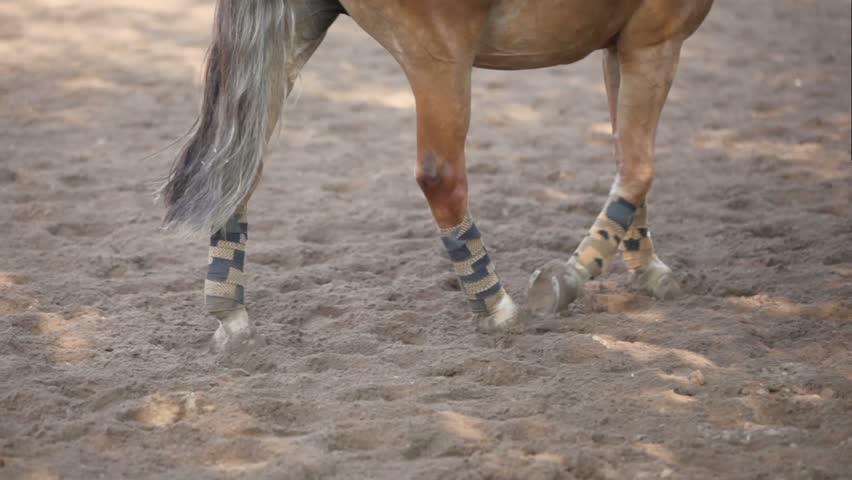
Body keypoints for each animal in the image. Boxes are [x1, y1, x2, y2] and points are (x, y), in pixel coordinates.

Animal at [160, 0, 714, 351]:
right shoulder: (655, 39)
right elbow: (639, 165)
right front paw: (568, 277)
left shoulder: (619, 43)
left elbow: (625, 154)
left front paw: (647, 267)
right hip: (438, 55)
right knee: (441, 176)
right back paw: (497, 308)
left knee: (237, 166)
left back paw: (230, 314)